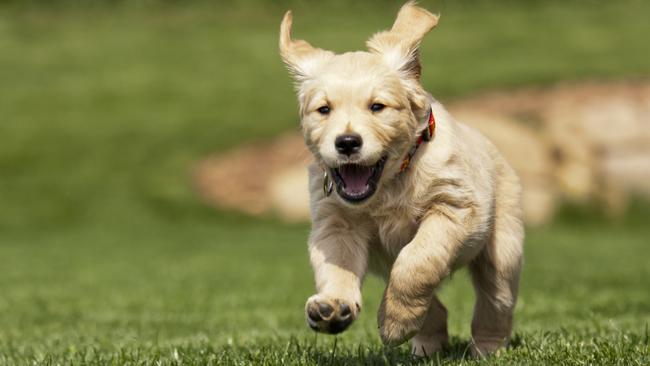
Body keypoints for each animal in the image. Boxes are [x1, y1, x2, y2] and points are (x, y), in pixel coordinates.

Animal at [278, 2, 520, 358]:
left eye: (377, 106)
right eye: (324, 109)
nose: (347, 143)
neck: (390, 184)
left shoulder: (454, 207)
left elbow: (417, 261)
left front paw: (394, 323)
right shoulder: (336, 225)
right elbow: (338, 267)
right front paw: (333, 307)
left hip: (503, 247)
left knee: (496, 300)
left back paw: (486, 349)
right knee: (435, 308)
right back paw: (426, 346)